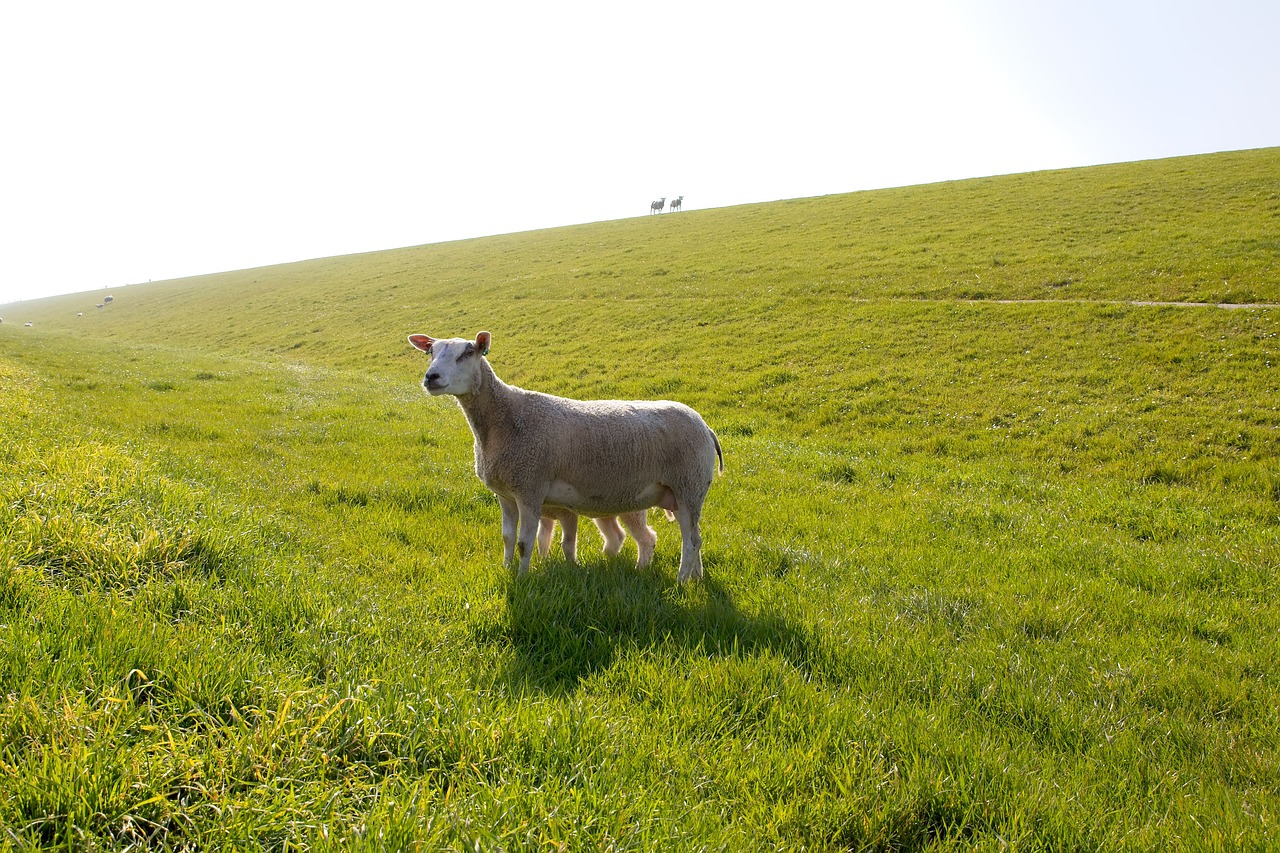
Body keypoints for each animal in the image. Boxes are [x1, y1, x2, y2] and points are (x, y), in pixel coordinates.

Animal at [412, 327, 727, 581]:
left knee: (690, 540)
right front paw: (506, 570)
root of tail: (705, 426)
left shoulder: (530, 487)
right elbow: (507, 538)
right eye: (430, 352)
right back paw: (695, 577)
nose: (431, 377)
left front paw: (523, 579)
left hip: (689, 485)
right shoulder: (505, 494)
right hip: (685, 492)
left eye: (468, 353)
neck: (504, 419)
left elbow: (525, 543)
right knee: (694, 537)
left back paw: (682, 580)